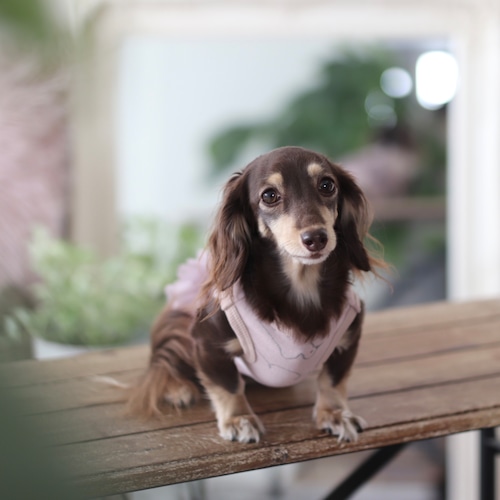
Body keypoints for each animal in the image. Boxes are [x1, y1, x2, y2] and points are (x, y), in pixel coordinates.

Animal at [127, 146, 384, 444]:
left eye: (327, 185)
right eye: (269, 195)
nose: (316, 238)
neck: (302, 288)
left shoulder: (349, 337)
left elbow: (332, 381)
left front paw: (334, 414)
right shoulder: (205, 341)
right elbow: (228, 385)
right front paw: (239, 419)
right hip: (175, 328)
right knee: (162, 362)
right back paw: (177, 388)